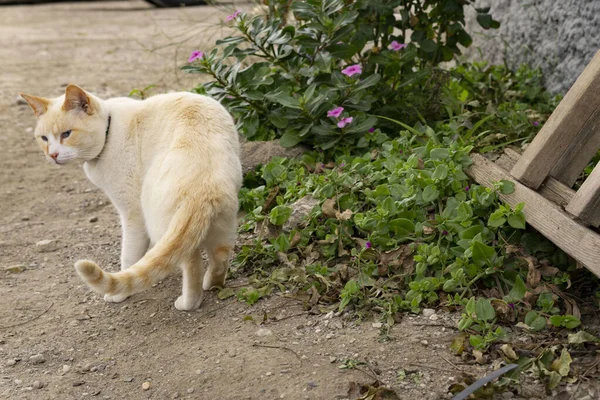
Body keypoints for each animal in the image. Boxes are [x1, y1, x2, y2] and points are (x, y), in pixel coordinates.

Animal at [21, 83, 241, 310]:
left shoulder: (132, 213)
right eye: (44, 138)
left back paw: (188, 302)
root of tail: (202, 185)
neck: (108, 132)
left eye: (66, 134)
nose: (52, 155)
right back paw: (213, 284)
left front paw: (118, 294)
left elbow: (128, 256)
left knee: (191, 262)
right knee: (220, 257)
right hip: (223, 225)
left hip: (159, 223)